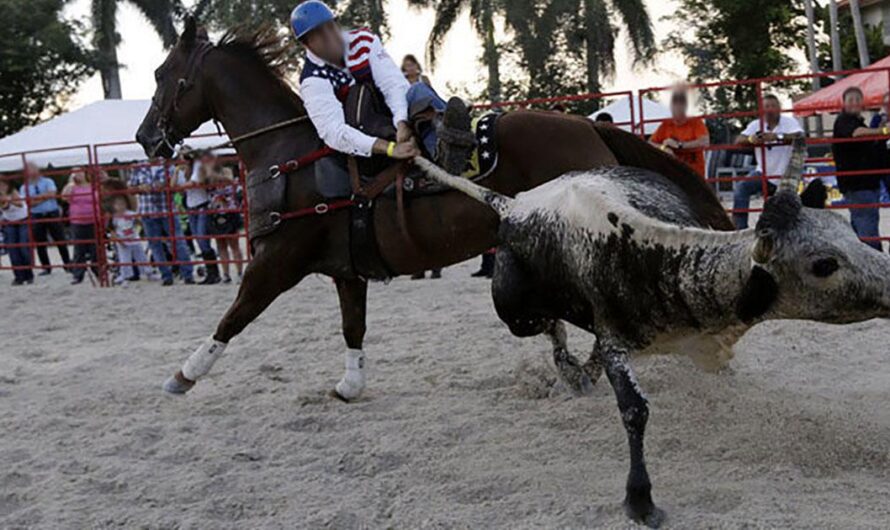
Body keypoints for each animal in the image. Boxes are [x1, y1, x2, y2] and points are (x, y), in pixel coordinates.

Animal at [134, 18, 728, 520]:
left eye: (162, 75)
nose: (144, 138)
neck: (292, 154)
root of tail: (589, 129)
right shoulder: (346, 271)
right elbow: (353, 326)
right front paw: (350, 384)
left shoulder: (277, 260)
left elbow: (235, 316)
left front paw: (184, 375)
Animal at [412, 142, 888, 524]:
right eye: (824, 264)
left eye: (849, 230)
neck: (658, 260)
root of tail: (516, 204)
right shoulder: (616, 342)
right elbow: (634, 409)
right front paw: (640, 500)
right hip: (515, 311)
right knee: (550, 329)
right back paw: (570, 372)